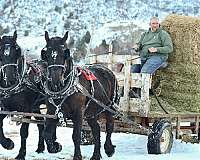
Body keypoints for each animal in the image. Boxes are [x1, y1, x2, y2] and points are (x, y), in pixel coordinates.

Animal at [0, 30, 45, 159]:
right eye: (0, 53)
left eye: (17, 51)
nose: (10, 77)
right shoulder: (5, 108)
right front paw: (8, 143)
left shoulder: (26, 110)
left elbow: (24, 132)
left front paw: (21, 153)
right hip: (35, 107)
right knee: (41, 123)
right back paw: (40, 148)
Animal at [41, 31, 119, 160]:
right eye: (46, 54)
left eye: (65, 53)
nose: (56, 80)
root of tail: (107, 70)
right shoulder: (52, 111)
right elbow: (46, 134)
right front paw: (55, 147)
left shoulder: (79, 113)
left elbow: (76, 135)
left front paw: (77, 156)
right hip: (91, 113)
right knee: (96, 130)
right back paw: (96, 155)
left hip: (109, 108)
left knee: (109, 126)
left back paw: (108, 148)